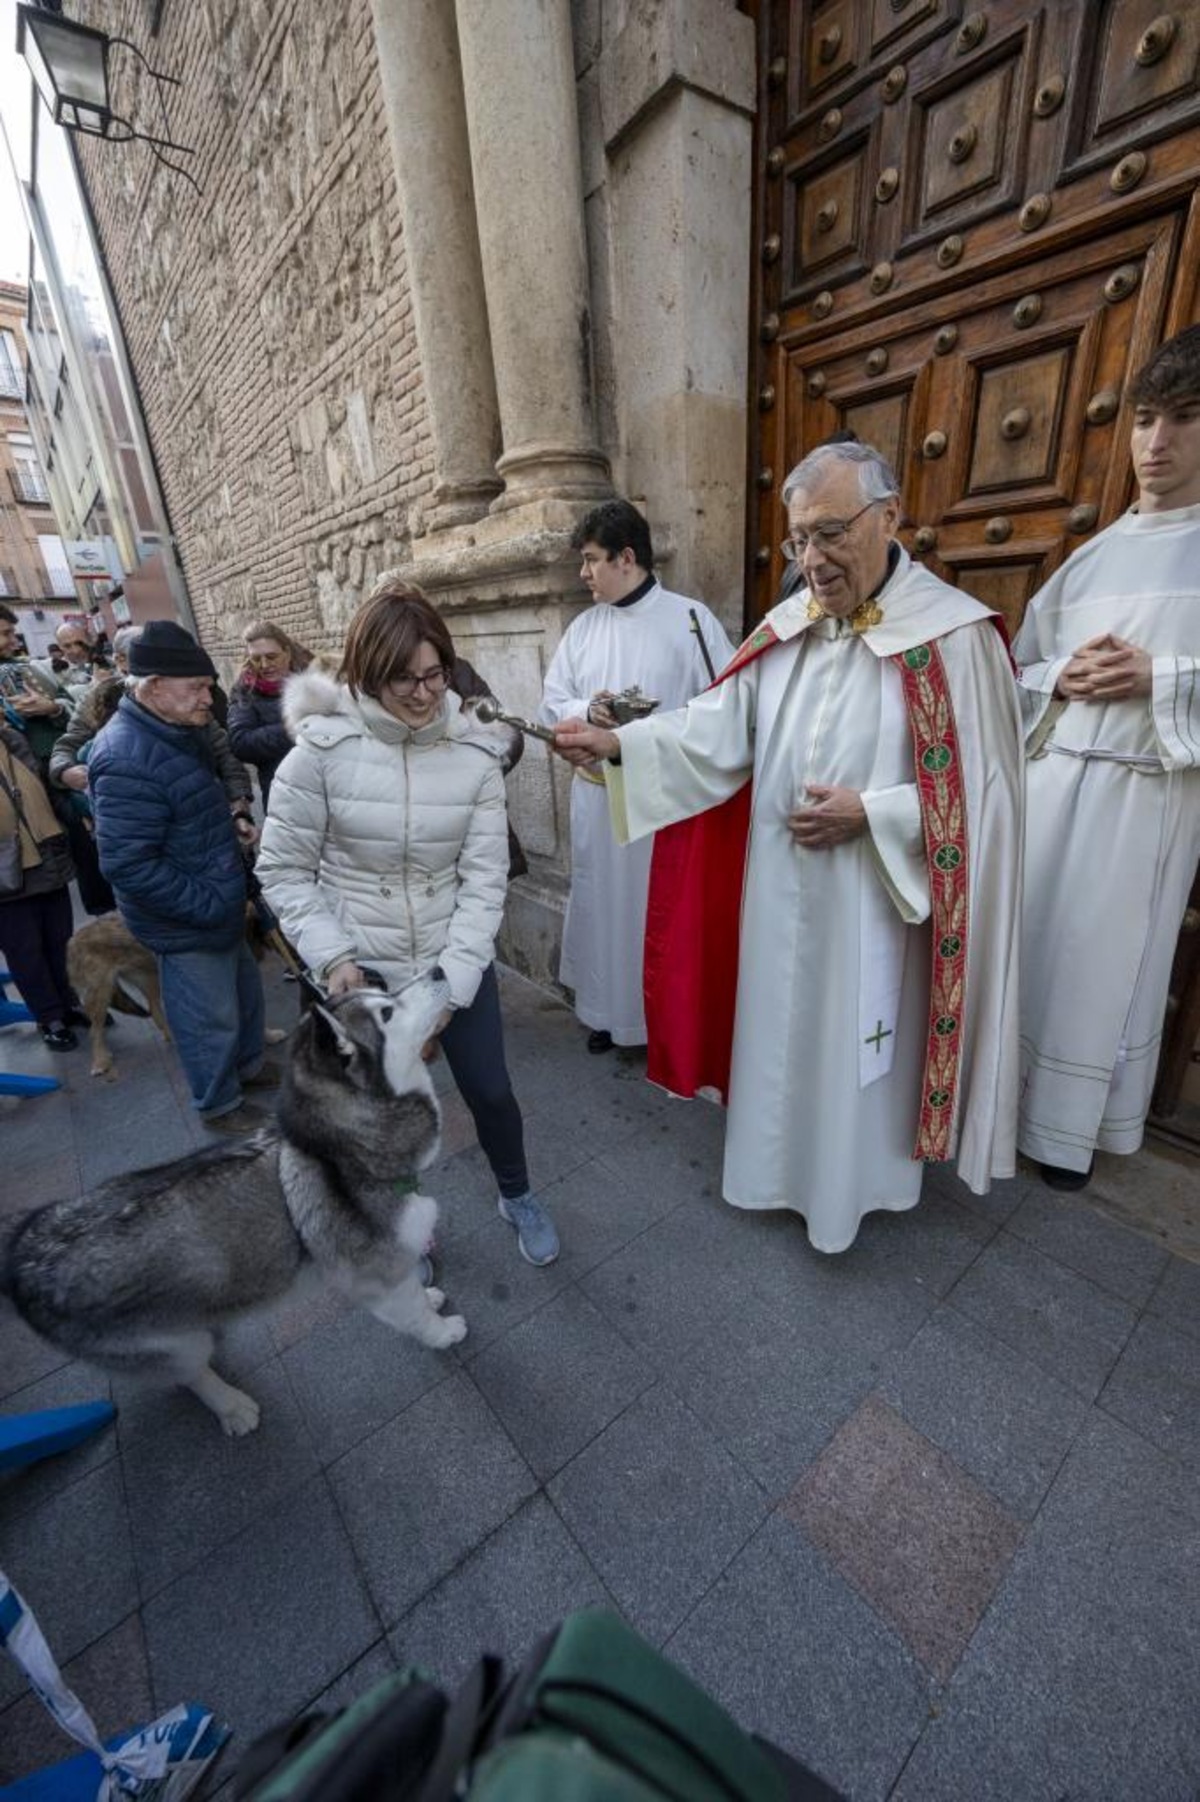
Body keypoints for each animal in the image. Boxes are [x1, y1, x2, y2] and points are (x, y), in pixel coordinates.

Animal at [0, 973, 461, 1434]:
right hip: (170, 1347)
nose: (438, 972)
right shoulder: (379, 1280)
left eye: (384, 992)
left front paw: (431, 1296)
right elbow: (416, 1315)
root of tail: (22, 1250)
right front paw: (443, 1332)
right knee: (190, 1374)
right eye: (387, 1012)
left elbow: (418, 1294)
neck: (344, 1153)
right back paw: (231, 1405)